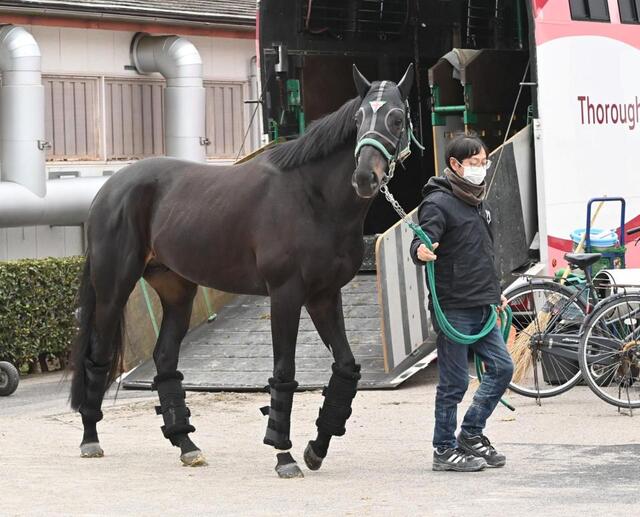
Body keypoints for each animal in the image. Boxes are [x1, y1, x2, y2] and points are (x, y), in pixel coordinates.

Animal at [69, 64, 415, 478]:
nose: (365, 177)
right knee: (98, 356)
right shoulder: (286, 295)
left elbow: (346, 369)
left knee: (165, 361)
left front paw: (316, 448)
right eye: (359, 118)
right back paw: (90, 439)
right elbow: (284, 372)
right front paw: (284, 456)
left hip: (177, 291)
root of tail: (110, 188)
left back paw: (187, 445)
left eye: (396, 118)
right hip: (113, 289)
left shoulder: (324, 296)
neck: (313, 197)